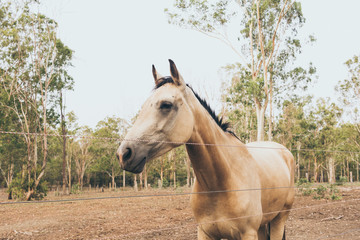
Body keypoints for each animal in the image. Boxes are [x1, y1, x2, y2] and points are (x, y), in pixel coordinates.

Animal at [116, 59, 294, 239]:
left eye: (166, 105)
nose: (124, 154)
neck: (223, 180)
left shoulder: (248, 233)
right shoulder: (205, 232)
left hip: (279, 219)